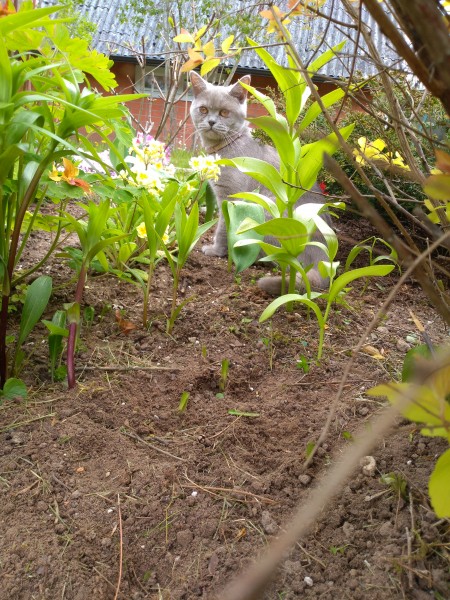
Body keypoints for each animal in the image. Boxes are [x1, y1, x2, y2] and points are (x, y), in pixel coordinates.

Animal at [189, 71, 330, 295]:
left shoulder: (231, 196)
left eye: (224, 112)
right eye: (203, 109)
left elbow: (223, 227)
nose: (210, 121)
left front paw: (215, 250)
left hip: (264, 210)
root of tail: (324, 258)